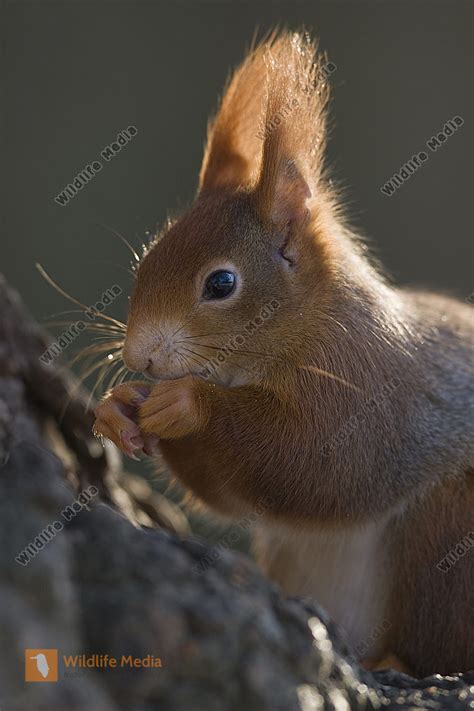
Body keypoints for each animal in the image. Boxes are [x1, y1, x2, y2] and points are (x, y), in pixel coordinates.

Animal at [93, 32, 474, 680]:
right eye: (146, 259)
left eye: (221, 284)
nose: (139, 358)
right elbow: (230, 493)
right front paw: (118, 407)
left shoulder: (373, 392)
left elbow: (319, 465)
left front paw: (190, 403)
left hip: (447, 533)